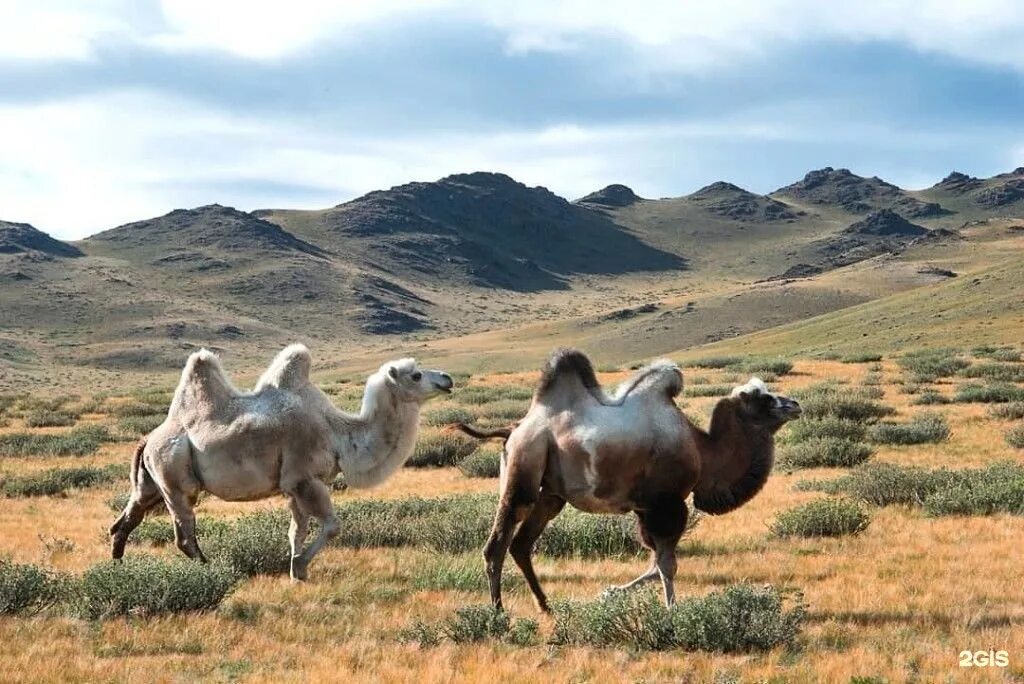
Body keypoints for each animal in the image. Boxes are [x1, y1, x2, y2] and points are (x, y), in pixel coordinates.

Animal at [107, 344, 452, 581]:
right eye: (416, 374)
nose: (447, 378)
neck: (338, 433)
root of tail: (148, 438)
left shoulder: (294, 487)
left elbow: (296, 531)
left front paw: (296, 572)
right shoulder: (305, 479)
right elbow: (332, 526)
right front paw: (300, 565)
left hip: (150, 483)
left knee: (126, 519)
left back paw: (117, 569)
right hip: (176, 479)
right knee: (184, 534)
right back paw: (210, 570)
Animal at [456, 348, 798, 610]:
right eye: (765, 399)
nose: (795, 404)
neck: (702, 450)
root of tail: (513, 430)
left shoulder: (646, 509)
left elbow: (654, 563)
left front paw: (611, 592)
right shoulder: (667, 504)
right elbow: (666, 564)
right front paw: (671, 610)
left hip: (550, 493)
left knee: (521, 544)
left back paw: (545, 605)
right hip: (524, 467)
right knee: (498, 544)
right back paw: (499, 612)